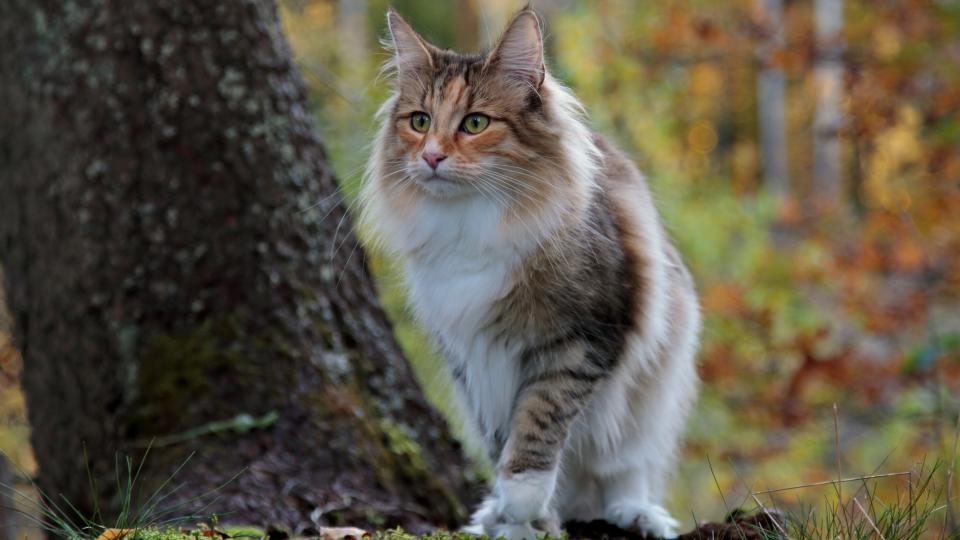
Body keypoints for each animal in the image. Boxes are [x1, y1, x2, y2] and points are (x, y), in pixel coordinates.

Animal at [364, 5, 700, 540]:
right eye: (419, 121)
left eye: (475, 123)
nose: (431, 156)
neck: (471, 223)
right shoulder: (474, 356)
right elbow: (500, 437)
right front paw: (511, 517)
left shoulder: (578, 341)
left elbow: (537, 427)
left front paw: (523, 509)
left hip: (656, 375)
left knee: (624, 466)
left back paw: (636, 512)